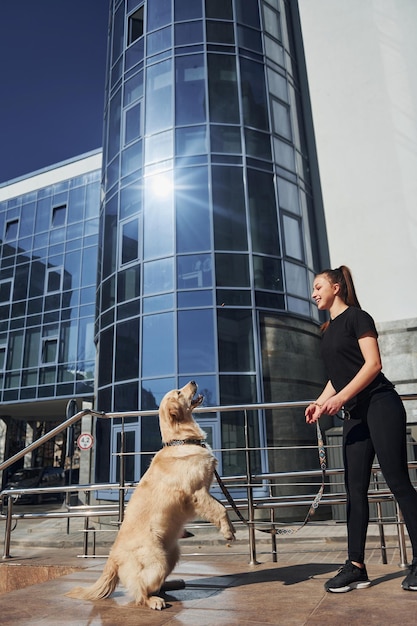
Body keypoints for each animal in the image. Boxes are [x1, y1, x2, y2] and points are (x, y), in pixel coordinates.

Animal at [65, 378, 234, 608]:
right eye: (179, 392)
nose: (193, 380)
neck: (181, 441)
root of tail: (112, 558)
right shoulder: (197, 492)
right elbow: (220, 508)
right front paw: (228, 532)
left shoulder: (205, 490)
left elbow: (221, 505)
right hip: (157, 559)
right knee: (140, 591)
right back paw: (154, 600)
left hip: (172, 553)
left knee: (155, 584)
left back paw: (173, 584)